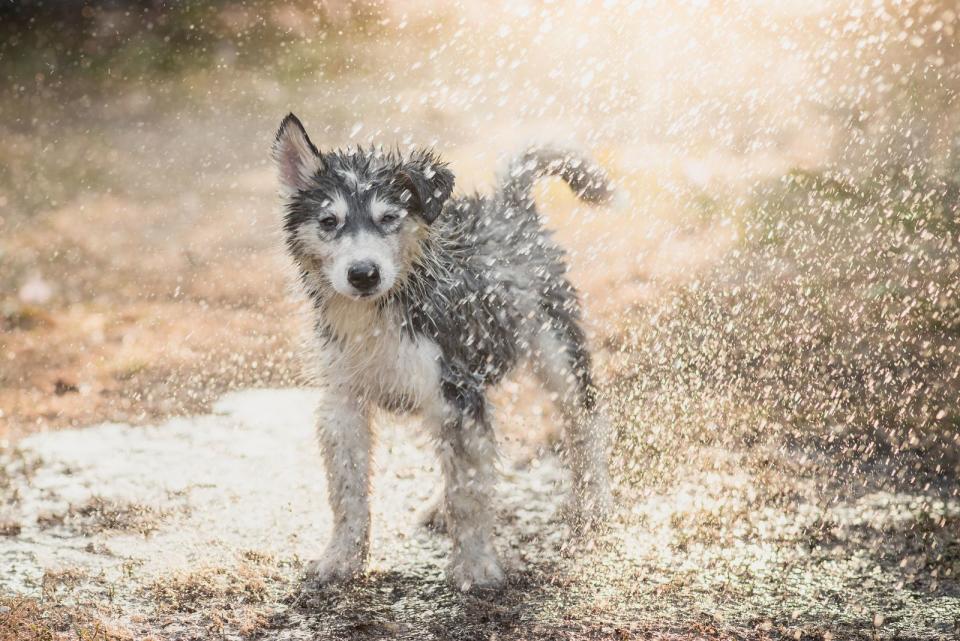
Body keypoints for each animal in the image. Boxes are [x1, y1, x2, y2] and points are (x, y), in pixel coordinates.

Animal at [270, 114, 616, 592]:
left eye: (389, 218)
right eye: (329, 220)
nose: (363, 273)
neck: (383, 310)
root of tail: (510, 208)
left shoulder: (457, 389)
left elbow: (468, 494)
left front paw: (475, 566)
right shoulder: (343, 400)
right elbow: (347, 491)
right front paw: (341, 558)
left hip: (556, 349)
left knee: (585, 422)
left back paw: (594, 502)